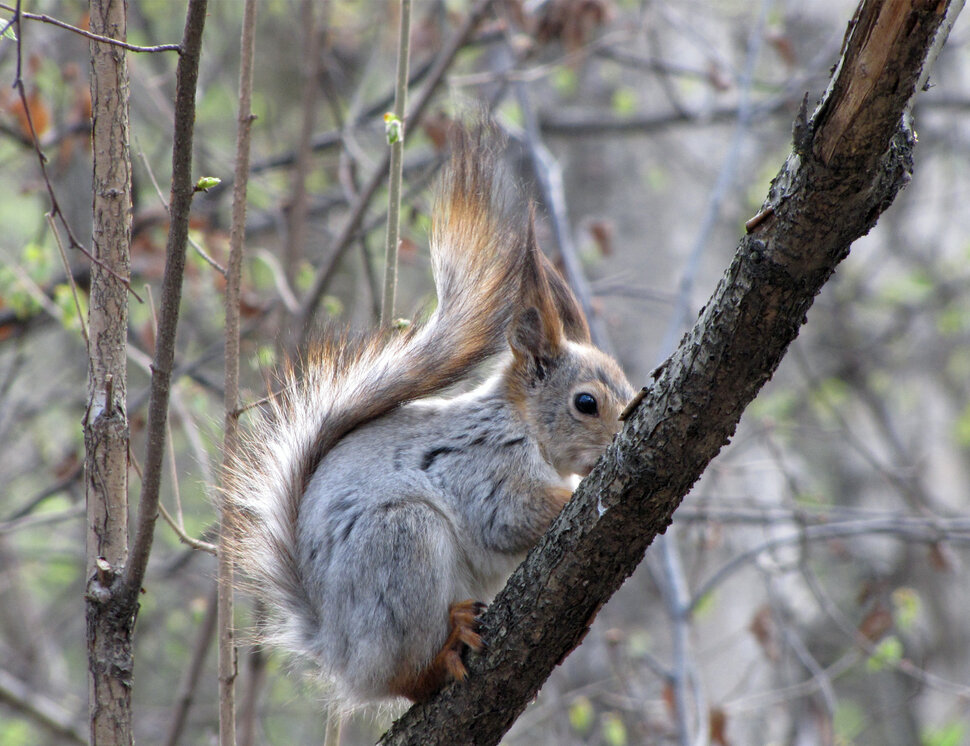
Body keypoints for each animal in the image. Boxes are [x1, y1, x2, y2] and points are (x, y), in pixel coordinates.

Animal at [227, 128, 636, 704]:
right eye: (586, 403)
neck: (523, 425)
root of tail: (336, 649)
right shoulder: (483, 465)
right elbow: (508, 513)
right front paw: (569, 497)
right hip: (402, 546)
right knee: (407, 677)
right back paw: (444, 650)